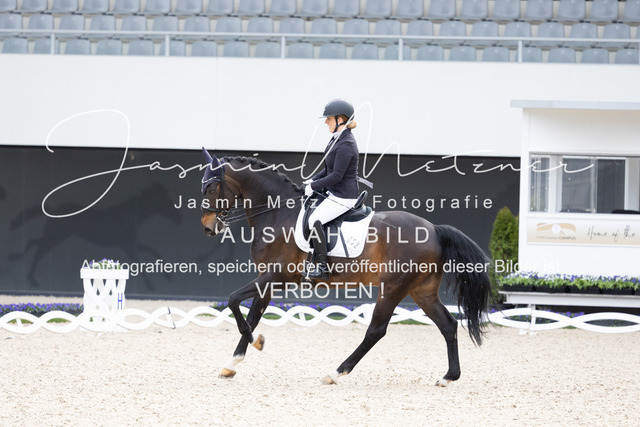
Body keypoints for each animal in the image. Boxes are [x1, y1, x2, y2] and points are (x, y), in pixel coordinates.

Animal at [200, 150, 491, 386]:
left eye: (212, 188)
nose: (207, 227)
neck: (277, 213)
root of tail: (434, 230)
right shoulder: (267, 279)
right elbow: (253, 315)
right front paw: (232, 363)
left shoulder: (276, 275)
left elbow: (233, 300)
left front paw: (256, 342)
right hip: (421, 290)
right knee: (448, 325)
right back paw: (448, 376)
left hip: (393, 288)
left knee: (376, 331)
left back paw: (336, 372)